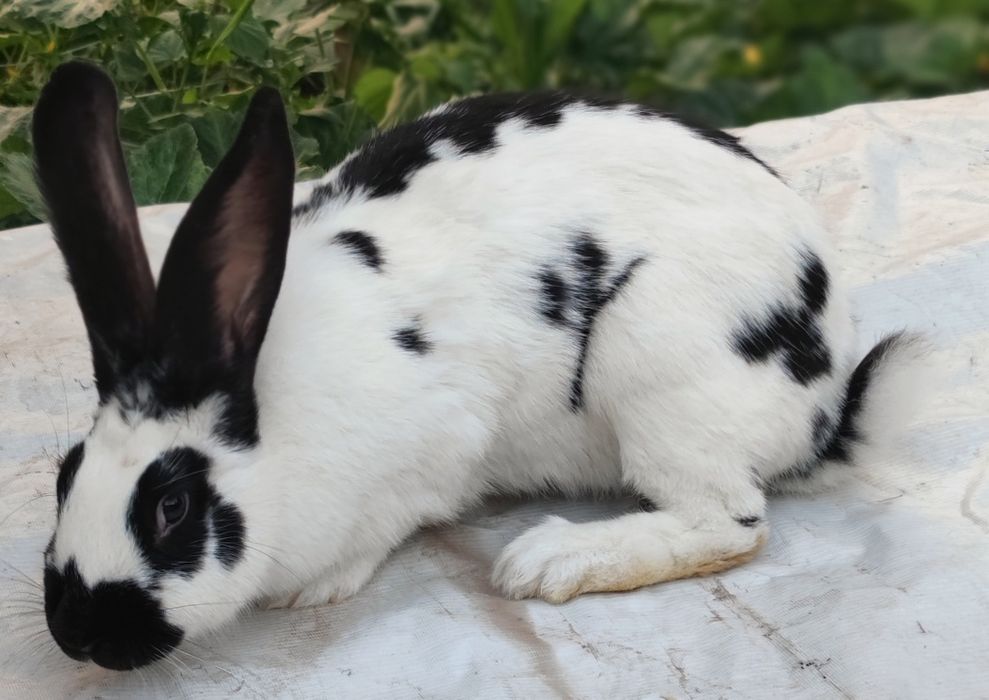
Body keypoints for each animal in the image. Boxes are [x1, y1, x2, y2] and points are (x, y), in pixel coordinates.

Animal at [34, 60, 929, 671]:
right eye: (65, 473)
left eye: (171, 507)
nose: (76, 633)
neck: (273, 423)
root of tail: (825, 408)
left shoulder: (438, 445)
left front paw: (313, 588)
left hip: (660, 364)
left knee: (729, 523)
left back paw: (550, 561)